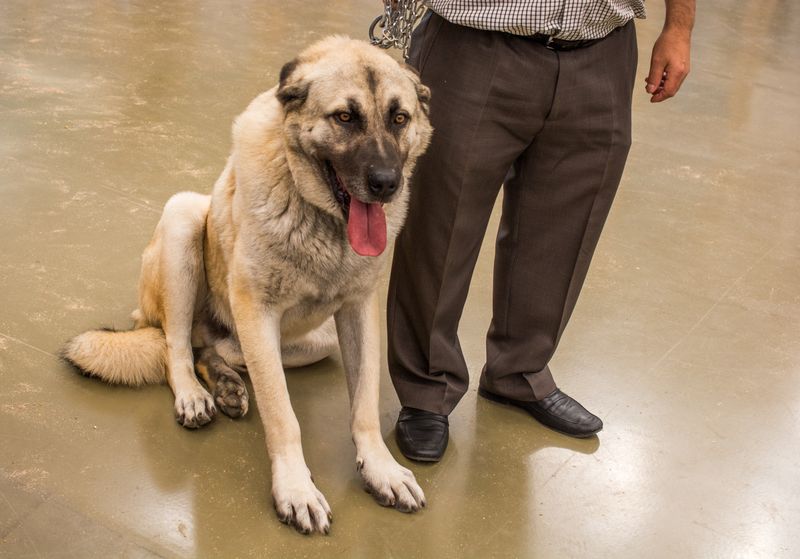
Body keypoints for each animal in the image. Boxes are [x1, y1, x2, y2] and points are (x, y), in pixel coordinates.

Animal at [60, 37, 434, 536]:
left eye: (399, 118)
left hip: (312, 340)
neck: (321, 219)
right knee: (175, 347)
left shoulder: (357, 311)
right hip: (183, 217)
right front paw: (296, 489)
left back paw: (227, 384)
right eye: (344, 117)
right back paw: (195, 394)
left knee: (210, 349)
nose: (386, 184)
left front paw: (380, 468)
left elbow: (365, 405)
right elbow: (281, 414)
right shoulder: (257, 311)